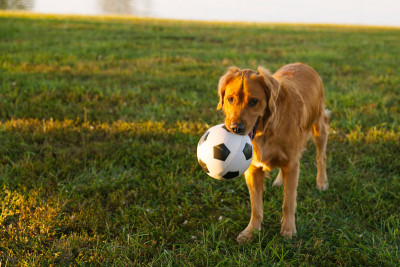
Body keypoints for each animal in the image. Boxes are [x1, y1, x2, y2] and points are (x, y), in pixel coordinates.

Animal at [217, 62, 330, 243]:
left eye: (253, 101)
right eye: (230, 99)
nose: (235, 128)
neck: (268, 128)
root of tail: (303, 64)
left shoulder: (292, 164)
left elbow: (288, 202)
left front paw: (288, 229)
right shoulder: (253, 168)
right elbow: (256, 205)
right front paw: (251, 231)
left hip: (319, 127)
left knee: (321, 156)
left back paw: (321, 181)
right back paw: (279, 180)